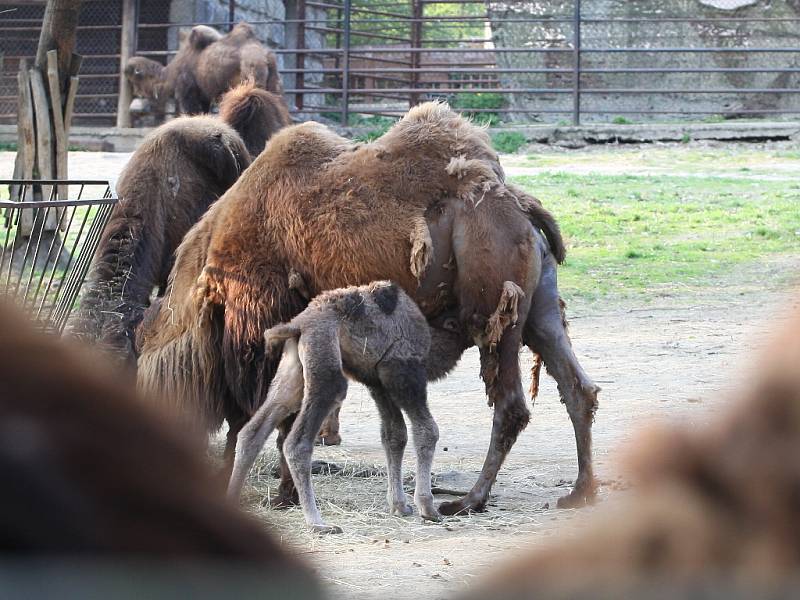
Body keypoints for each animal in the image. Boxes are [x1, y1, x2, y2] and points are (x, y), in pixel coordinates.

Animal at [125, 22, 284, 117]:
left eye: (135, 81)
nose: (136, 94)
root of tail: (265, 57)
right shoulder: (204, 96)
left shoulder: (187, 90)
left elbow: (192, 111)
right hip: (273, 83)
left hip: (252, 75)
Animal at [228, 282, 440, 536]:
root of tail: (297, 324)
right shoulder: (403, 371)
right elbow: (427, 431)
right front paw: (427, 507)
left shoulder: (377, 382)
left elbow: (394, 435)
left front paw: (400, 505)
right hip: (326, 365)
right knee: (296, 443)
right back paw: (318, 523)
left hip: (294, 370)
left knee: (253, 431)